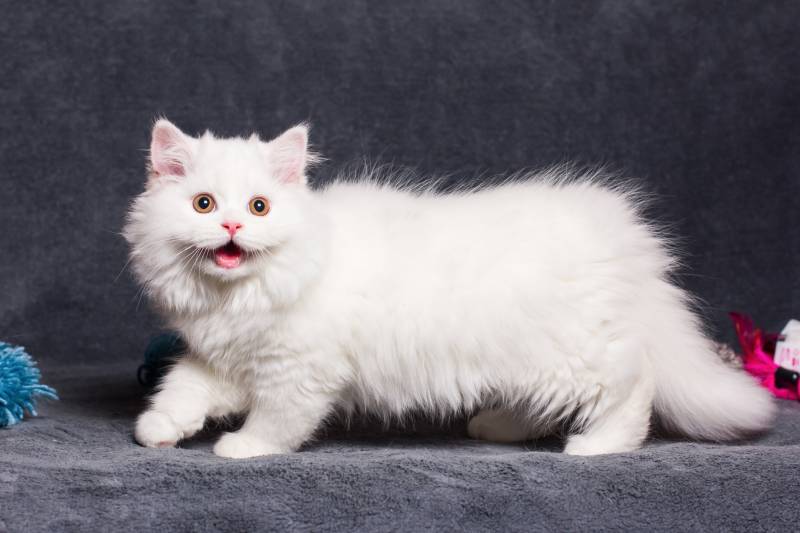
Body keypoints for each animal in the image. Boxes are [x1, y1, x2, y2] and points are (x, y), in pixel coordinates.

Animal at [126, 119, 776, 458]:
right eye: (204, 204)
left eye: (259, 207)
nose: (232, 228)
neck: (239, 296)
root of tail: (621, 232)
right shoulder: (224, 360)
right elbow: (182, 389)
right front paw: (158, 430)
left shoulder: (296, 370)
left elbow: (278, 421)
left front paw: (242, 447)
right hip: (526, 358)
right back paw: (499, 428)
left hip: (579, 354)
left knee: (633, 387)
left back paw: (599, 446)